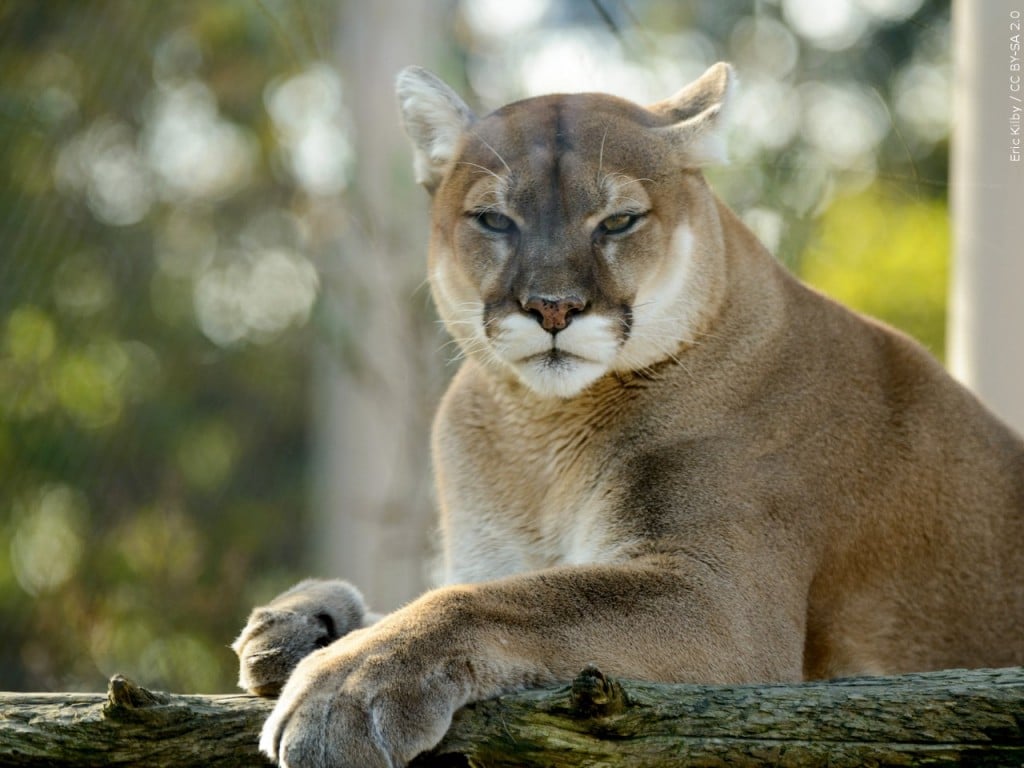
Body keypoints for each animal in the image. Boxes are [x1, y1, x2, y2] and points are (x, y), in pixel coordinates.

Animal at [234, 64, 1024, 768]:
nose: (553, 307)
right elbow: (492, 585)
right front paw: (300, 620)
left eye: (617, 221)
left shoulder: (718, 596)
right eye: (494, 220)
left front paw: (345, 686)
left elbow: (512, 598)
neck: (537, 435)